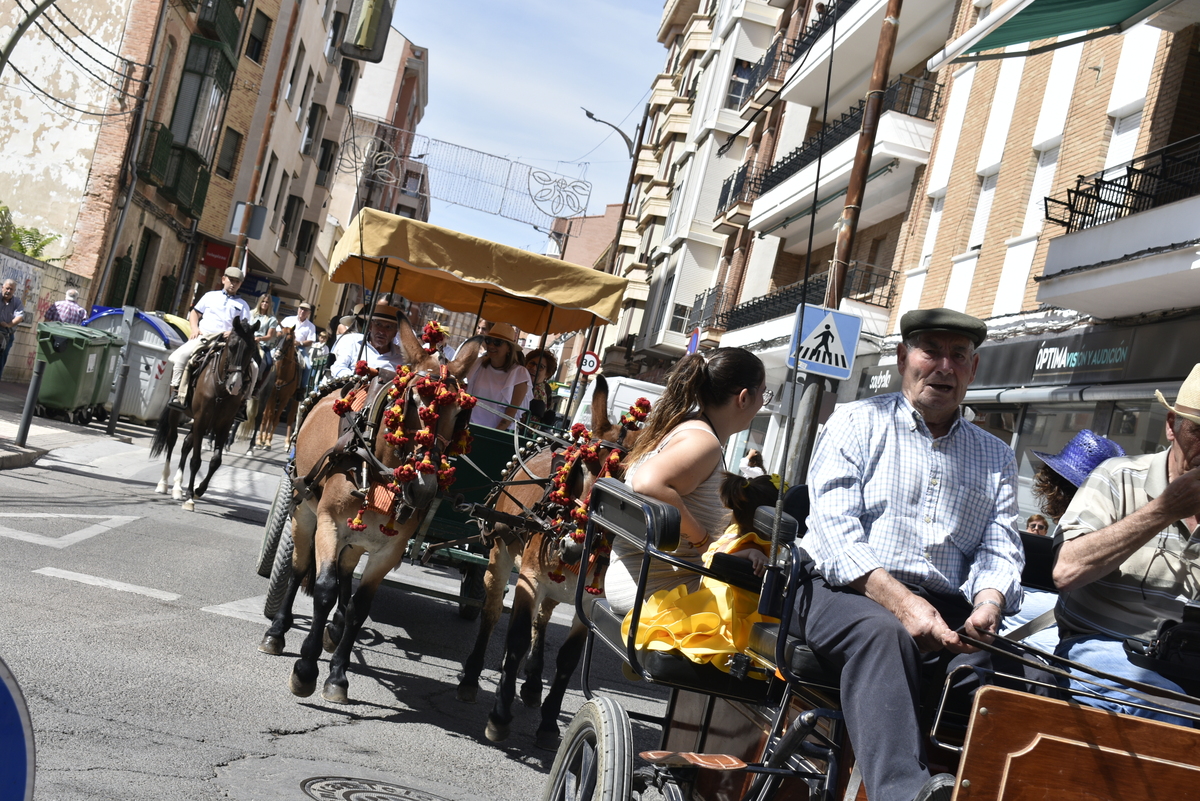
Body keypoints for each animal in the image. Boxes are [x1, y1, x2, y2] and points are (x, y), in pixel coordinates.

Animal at [151, 316, 259, 510]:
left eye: (252, 348)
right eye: (232, 345)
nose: (236, 385)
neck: (221, 389)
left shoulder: (224, 424)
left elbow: (216, 461)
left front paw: (198, 490)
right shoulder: (201, 420)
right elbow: (196, 460)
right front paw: (189, 497)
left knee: (186, 443)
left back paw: (177, 487)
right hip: (176, 413)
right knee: (172, 440)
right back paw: (164, 483)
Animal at [259, 316, 482, 705]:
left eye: (459, 414)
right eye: (413, 401)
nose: (423, 487)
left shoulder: (388, 551)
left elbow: (359, 607)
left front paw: (338, 674)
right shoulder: (330, 525)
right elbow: (324, 589)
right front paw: (306, 669)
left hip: (360, 538)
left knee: (347, 574)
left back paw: (334, 628)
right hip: (304, 509)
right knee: (300, 567)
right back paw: (278, 630)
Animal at [456, 376, 648, 753]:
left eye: (621, 489)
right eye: (579, 471)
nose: (571, 547)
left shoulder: (588, 602)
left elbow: (568, 659)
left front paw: (547, 722)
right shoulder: (529, 581)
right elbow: (515, 639)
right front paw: (499, 715)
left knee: (542, 620)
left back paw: (532, 685)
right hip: (500, 555)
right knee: (490, 613)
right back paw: (471, 677)